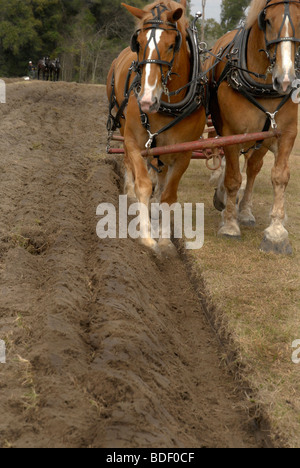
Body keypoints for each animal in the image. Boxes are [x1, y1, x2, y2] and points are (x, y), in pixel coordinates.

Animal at [106, 0, 207, 252]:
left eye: (172, 45)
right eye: (139, 43)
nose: (146, 101)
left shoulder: (183, 152)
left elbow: (167, 195)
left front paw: (164, 239)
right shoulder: (134, 142)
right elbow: (143, 183)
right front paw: (146, 237)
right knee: (130, 164)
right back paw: (129, 195)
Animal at [206, 0, 300, 254]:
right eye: (266, 20)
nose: (285, 80)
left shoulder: (286, 133)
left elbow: (280, 176)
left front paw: (276, 232)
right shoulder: (231, 133)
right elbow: (232, 178)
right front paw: (229, 225)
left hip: (262, 139)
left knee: (253, 168)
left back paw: (245, 210)